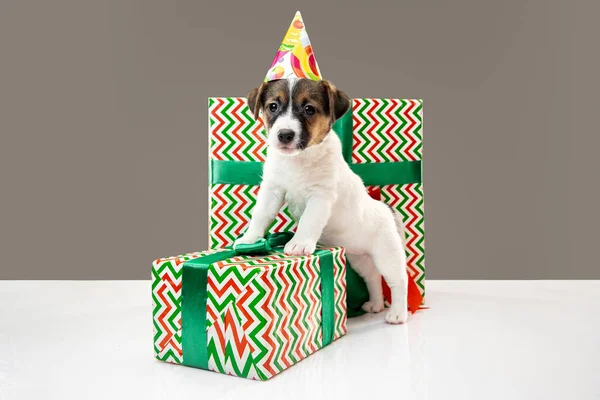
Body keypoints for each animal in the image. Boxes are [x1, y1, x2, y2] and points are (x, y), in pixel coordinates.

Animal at [234, 76, 408, 324]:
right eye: (273, 106)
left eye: (309, 109)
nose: (284, 134)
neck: (297, 160)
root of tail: (387, 209)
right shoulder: (272, 190)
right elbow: (260, 216)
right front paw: (250, 239)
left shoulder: (320, 196)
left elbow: (309, 221)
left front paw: (299, 243)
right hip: (359, 258)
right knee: (373, 277)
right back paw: (374, 304)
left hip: (387, 253)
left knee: (398, 281)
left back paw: (397, 313)